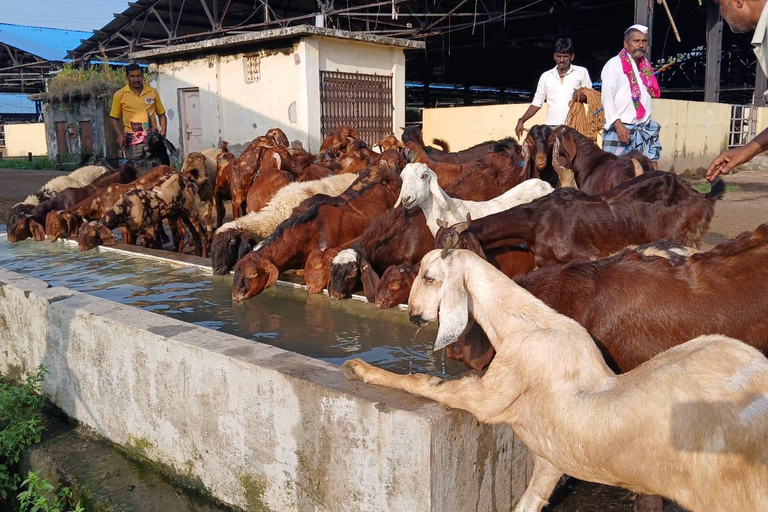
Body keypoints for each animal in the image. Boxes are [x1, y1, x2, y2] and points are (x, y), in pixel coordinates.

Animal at [342, 250, 768, 512]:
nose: (413, 315)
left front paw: (360, 368)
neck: (526, 324)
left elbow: (426, 383)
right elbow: (529, 501)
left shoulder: (490, 393)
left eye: (429, 278)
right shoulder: (550, 459)